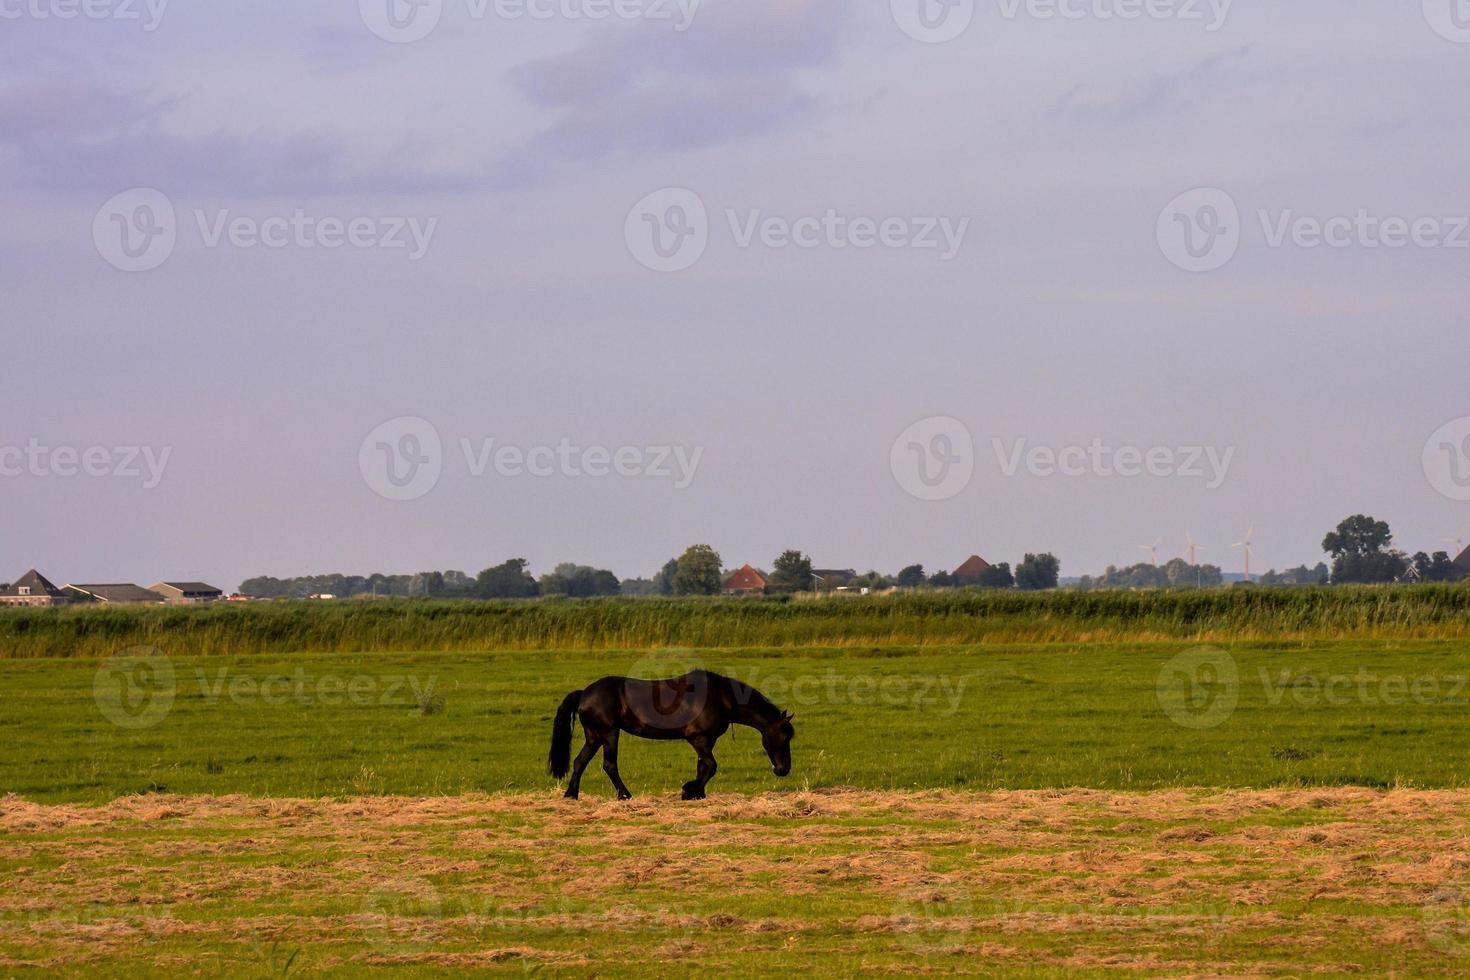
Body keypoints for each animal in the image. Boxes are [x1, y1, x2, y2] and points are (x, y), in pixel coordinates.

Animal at [549, 669, 799, 799]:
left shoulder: (707, 741)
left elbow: (703, 766)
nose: (783, 769)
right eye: (784, 735)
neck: (720, 697)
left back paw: (571, 794)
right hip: (609, 734)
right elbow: (711, 766)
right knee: (609, 765)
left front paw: (697, 793)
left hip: (594, 737)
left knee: (579, 762)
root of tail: (585, 693)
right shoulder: (698, 738)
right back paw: (624, 794)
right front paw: (689, 790)